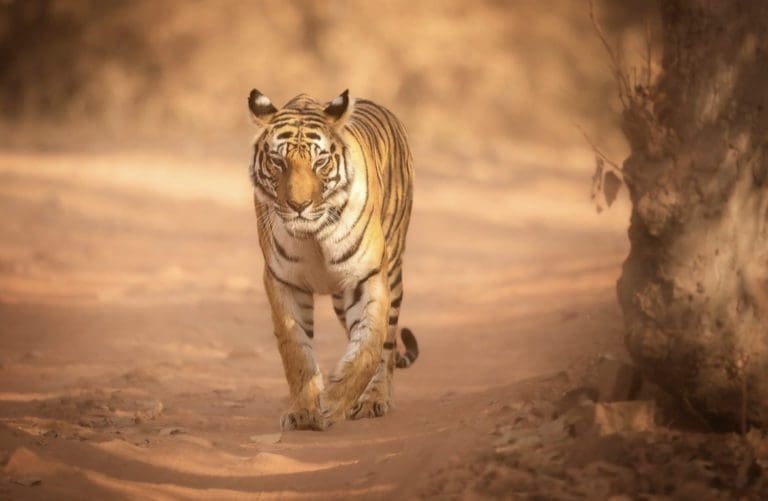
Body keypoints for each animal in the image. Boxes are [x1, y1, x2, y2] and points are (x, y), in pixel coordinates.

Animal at [247, 89, 419, 431]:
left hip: (392, 270)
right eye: (278, 161)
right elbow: (296, 351)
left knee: (388, 344)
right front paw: (303, 411)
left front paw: (334, 403)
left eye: (320, 161)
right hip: (341, 299)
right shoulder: (283, 280)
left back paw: (374, 399)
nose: (299, 205)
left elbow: (369, 346)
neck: (314, 235)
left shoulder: (367, 277)